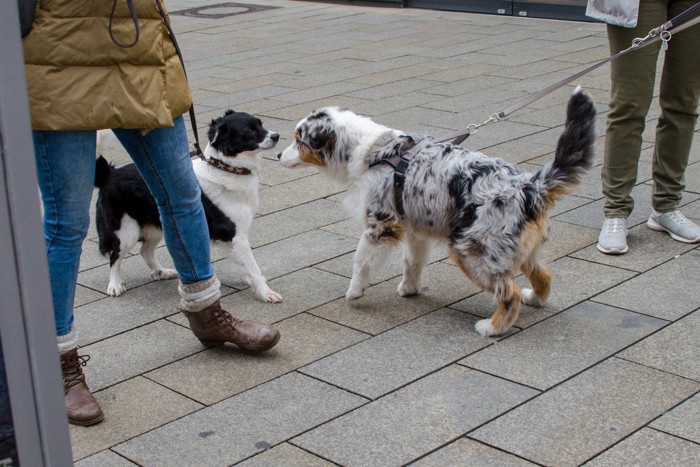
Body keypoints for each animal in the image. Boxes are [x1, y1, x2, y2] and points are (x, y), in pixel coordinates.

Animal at [94, 112, 284, 306]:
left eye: (260, 124)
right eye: (249, 131)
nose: (276, 136)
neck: (226, 168)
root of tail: (109, 173)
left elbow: (247, 266)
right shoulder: (236, 237)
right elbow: (254, 268)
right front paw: (265, 293)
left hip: (160, 224)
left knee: (145, 251)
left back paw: (161, 272)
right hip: (126, 231)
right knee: (115, 256)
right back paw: (115, 284)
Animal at [278, 88, 596, 336]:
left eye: (299, 140)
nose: (279, 155)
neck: (370, 153)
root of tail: (530, 186)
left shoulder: (380, 224)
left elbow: (361, 261)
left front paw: (354, 292)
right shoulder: (415, 227)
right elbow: (412, 262)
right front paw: (409, 289)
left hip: (471, 249)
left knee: (509, 293)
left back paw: (491, 328)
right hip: (522, 249)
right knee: (544, 275)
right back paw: (535, 300)